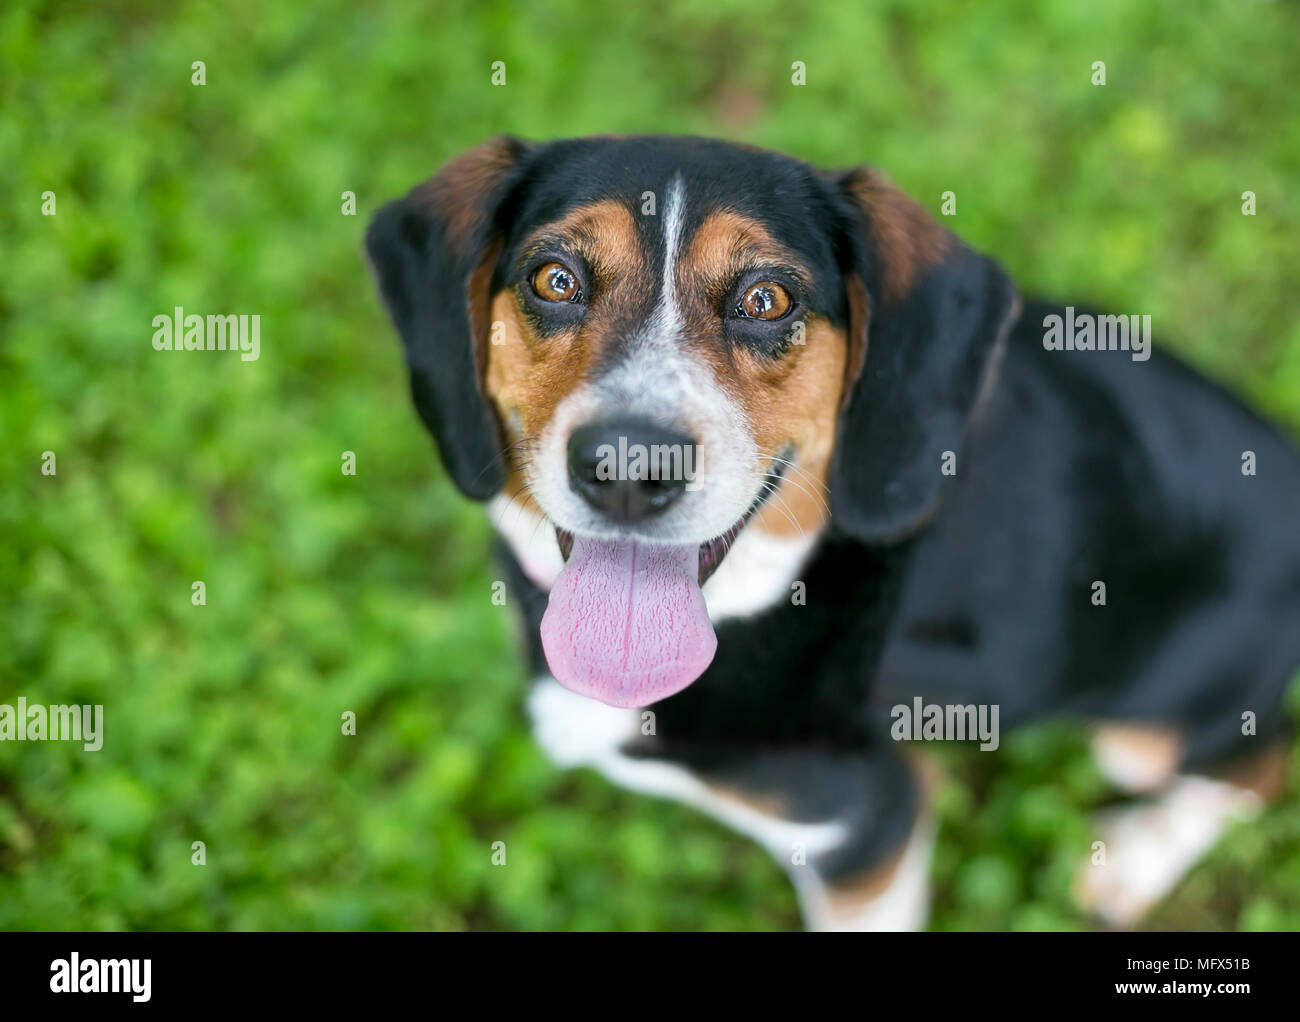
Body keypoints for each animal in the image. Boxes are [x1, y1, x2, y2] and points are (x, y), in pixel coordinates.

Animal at [366, 131, 1300, 925]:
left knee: (1261, 762)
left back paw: (1137, 858)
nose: (629, 467)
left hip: (1143, 732)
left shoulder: (865, 832)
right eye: (554, 279)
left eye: (765, 297)